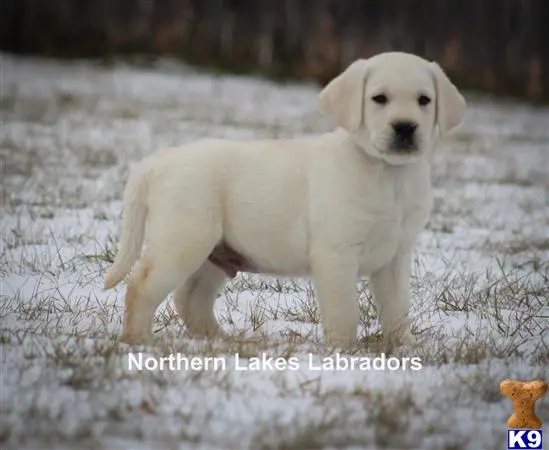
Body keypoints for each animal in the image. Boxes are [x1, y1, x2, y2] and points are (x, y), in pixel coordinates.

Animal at [103, 52, 462, 348]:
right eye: (379, 99)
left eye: (424, 100)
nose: (405, 127)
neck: (389, 175)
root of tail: (159, 160)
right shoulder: (337, 254)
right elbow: (344, 311)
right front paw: (344, 352)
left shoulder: (396, 257)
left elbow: (397, 308)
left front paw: (406, 348)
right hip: (183, 240)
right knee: (142, 286)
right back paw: (140, 339)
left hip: (215, 251)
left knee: (191, 298)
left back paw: (222, 340)